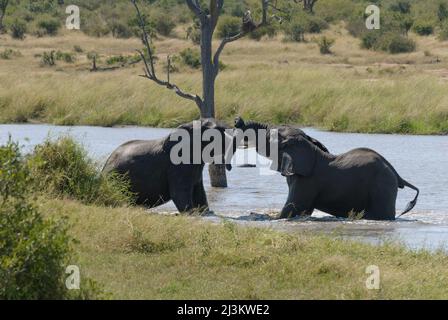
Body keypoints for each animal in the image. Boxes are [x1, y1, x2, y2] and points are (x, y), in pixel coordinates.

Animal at [101, 119, 234, 214]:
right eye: (215, 133)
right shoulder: (177, 165)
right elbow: (179, 191)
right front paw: (191, 213)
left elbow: (199, 190)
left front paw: (206, 212)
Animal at [234, 117, 420, 220]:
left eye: (269, 136)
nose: (237, 119)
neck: (310, 148)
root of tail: (397, 175)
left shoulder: (307, 181)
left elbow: (292, 209)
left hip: (382, 187)